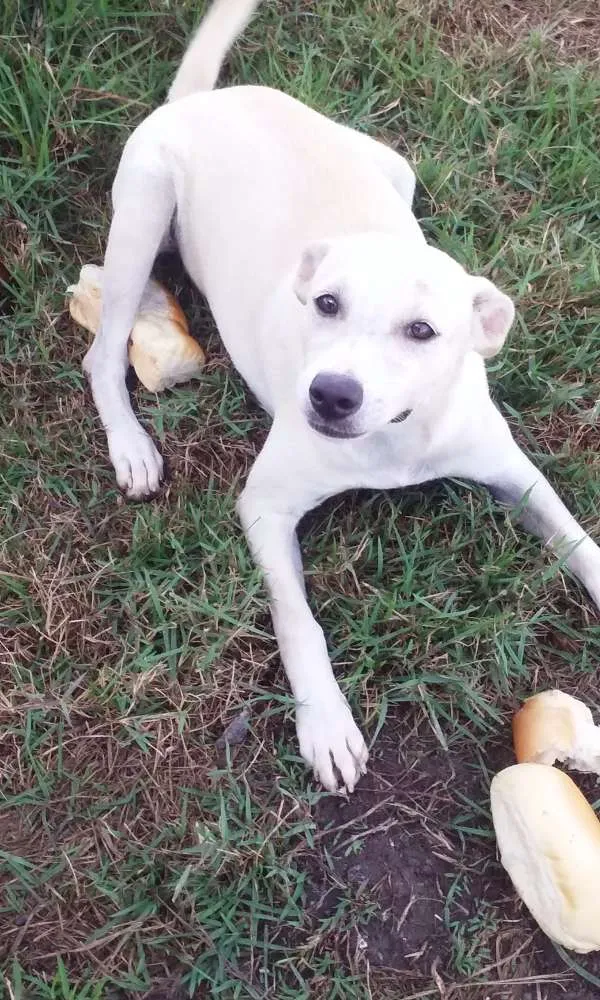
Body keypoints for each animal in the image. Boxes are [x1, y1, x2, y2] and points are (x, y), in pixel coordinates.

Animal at [83, 1, 600, 796]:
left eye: (422, 331)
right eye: (326, 304)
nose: (329, 396)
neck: (395, 437)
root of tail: (205, 100)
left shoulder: (517, 475)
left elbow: (578, 537)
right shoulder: (265, 508)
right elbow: (300, 621)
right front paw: (325, 724)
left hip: (395, 167)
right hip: (140, 216)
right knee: (103, 351)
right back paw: (132, 445)